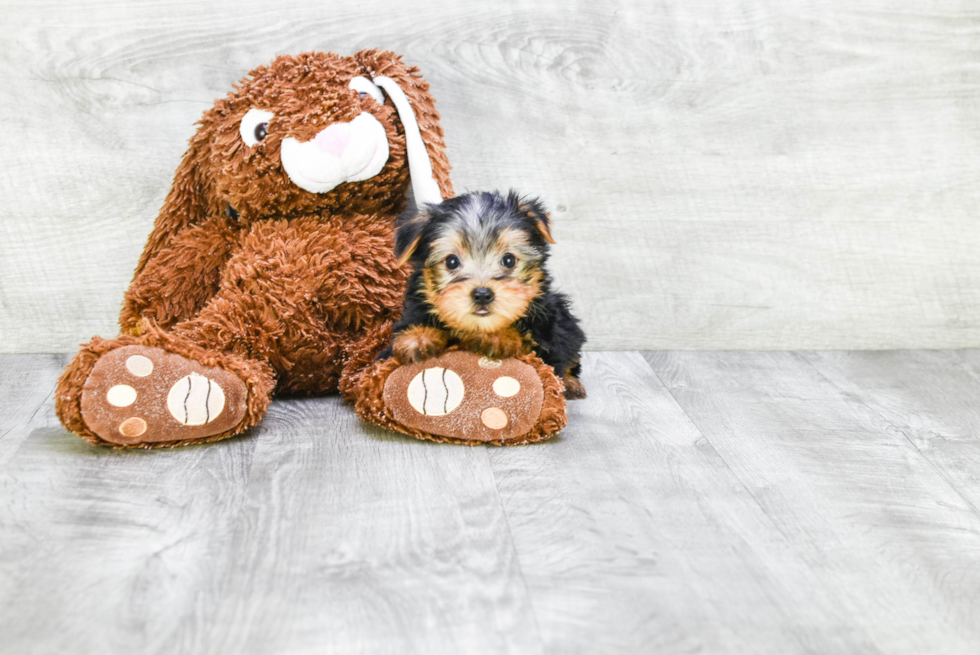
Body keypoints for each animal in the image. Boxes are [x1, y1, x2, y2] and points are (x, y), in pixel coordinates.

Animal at [378, 190, 584, 400]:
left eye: (508, 260)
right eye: (451, 261)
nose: (483, 294)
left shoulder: (547, 334)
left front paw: (498, 337)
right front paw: (418, 337)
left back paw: (572, 383)